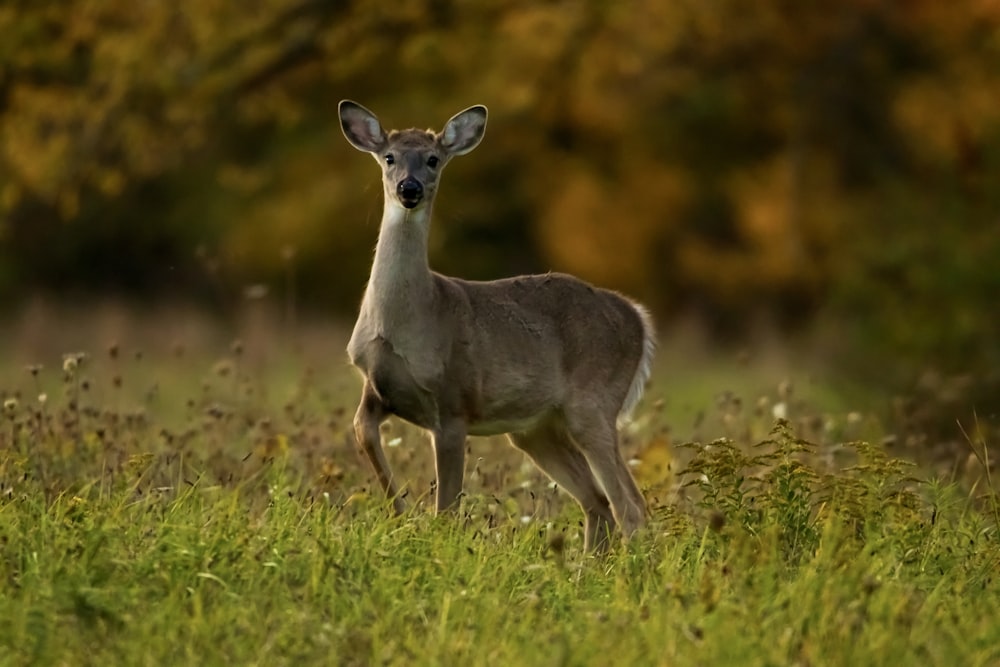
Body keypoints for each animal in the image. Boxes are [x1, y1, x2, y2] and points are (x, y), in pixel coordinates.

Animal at [338, 100, 656, 552]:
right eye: (390, 157)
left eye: (433, 159)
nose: (409, 189)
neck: (405, 320)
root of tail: (637, 317)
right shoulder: (375, 388)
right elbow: (367, 443)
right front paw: (401, 515)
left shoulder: (454, 402)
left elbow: (447, 508)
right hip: (536, 428)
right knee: (597, 502)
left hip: (593, 402)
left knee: (629, 504)